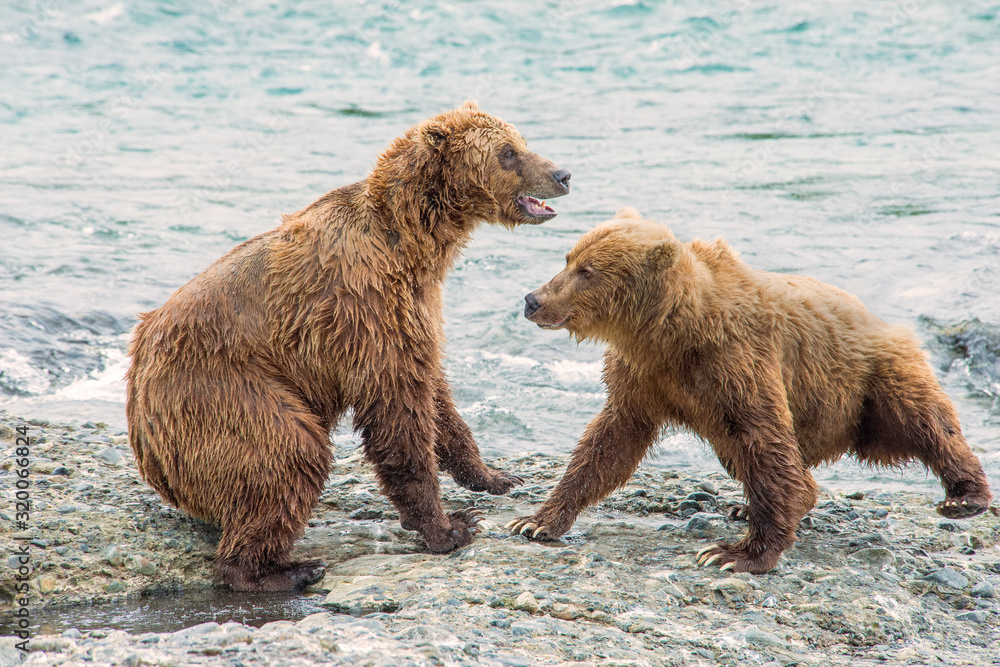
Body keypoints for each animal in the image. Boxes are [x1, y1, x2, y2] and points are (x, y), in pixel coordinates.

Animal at [126, 102, 572, 591]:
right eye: (508, 151)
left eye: (521, 141)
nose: (563, 173)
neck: (414, 240)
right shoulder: (367, 308)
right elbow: (397, 409)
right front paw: (450, 527)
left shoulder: (416, 307)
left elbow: (436, 394)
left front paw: (494, 476)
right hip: (221, 393)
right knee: (288, 452)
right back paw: (281, 570)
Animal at [508, 207, 992, 574]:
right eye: (568, 258)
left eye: (587, 271)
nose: (533, 299)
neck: (668, 332)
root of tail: (881, 319)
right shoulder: (643, 378)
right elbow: (608, 442)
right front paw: (536, 521)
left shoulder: (734, 361)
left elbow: (763, 436)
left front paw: (734, 554)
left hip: (873, 381)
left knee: (923, 422)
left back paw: (964, 497)